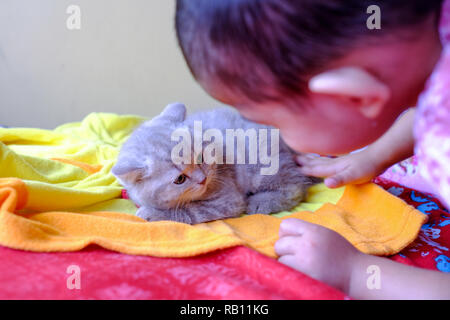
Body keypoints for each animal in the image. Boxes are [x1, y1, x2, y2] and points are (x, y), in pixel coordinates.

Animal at [111, 104, 316, 224]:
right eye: (180, 179)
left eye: (200, 158)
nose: (203, 179)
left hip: (261, 164)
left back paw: (260, 202)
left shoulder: (228, 199)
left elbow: (191, 211)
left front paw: (153, 214)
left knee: (295, 188)